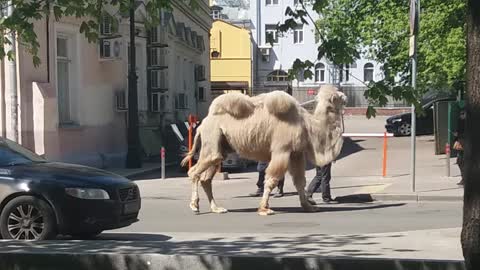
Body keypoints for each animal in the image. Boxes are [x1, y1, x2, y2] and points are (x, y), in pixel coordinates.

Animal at [180, 84, 344, 215]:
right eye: (337, 97)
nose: (344, 96)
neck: (308, 126)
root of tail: (202, 124)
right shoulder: (281, 150)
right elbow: (271, 179)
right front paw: (265, 208)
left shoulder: (296, 154)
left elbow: (299, 181)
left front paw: (309, 207)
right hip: (212, 137)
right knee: (194, 171)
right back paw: (194, 206)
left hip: (220, 146)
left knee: (207, 177)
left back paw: (216, 208)